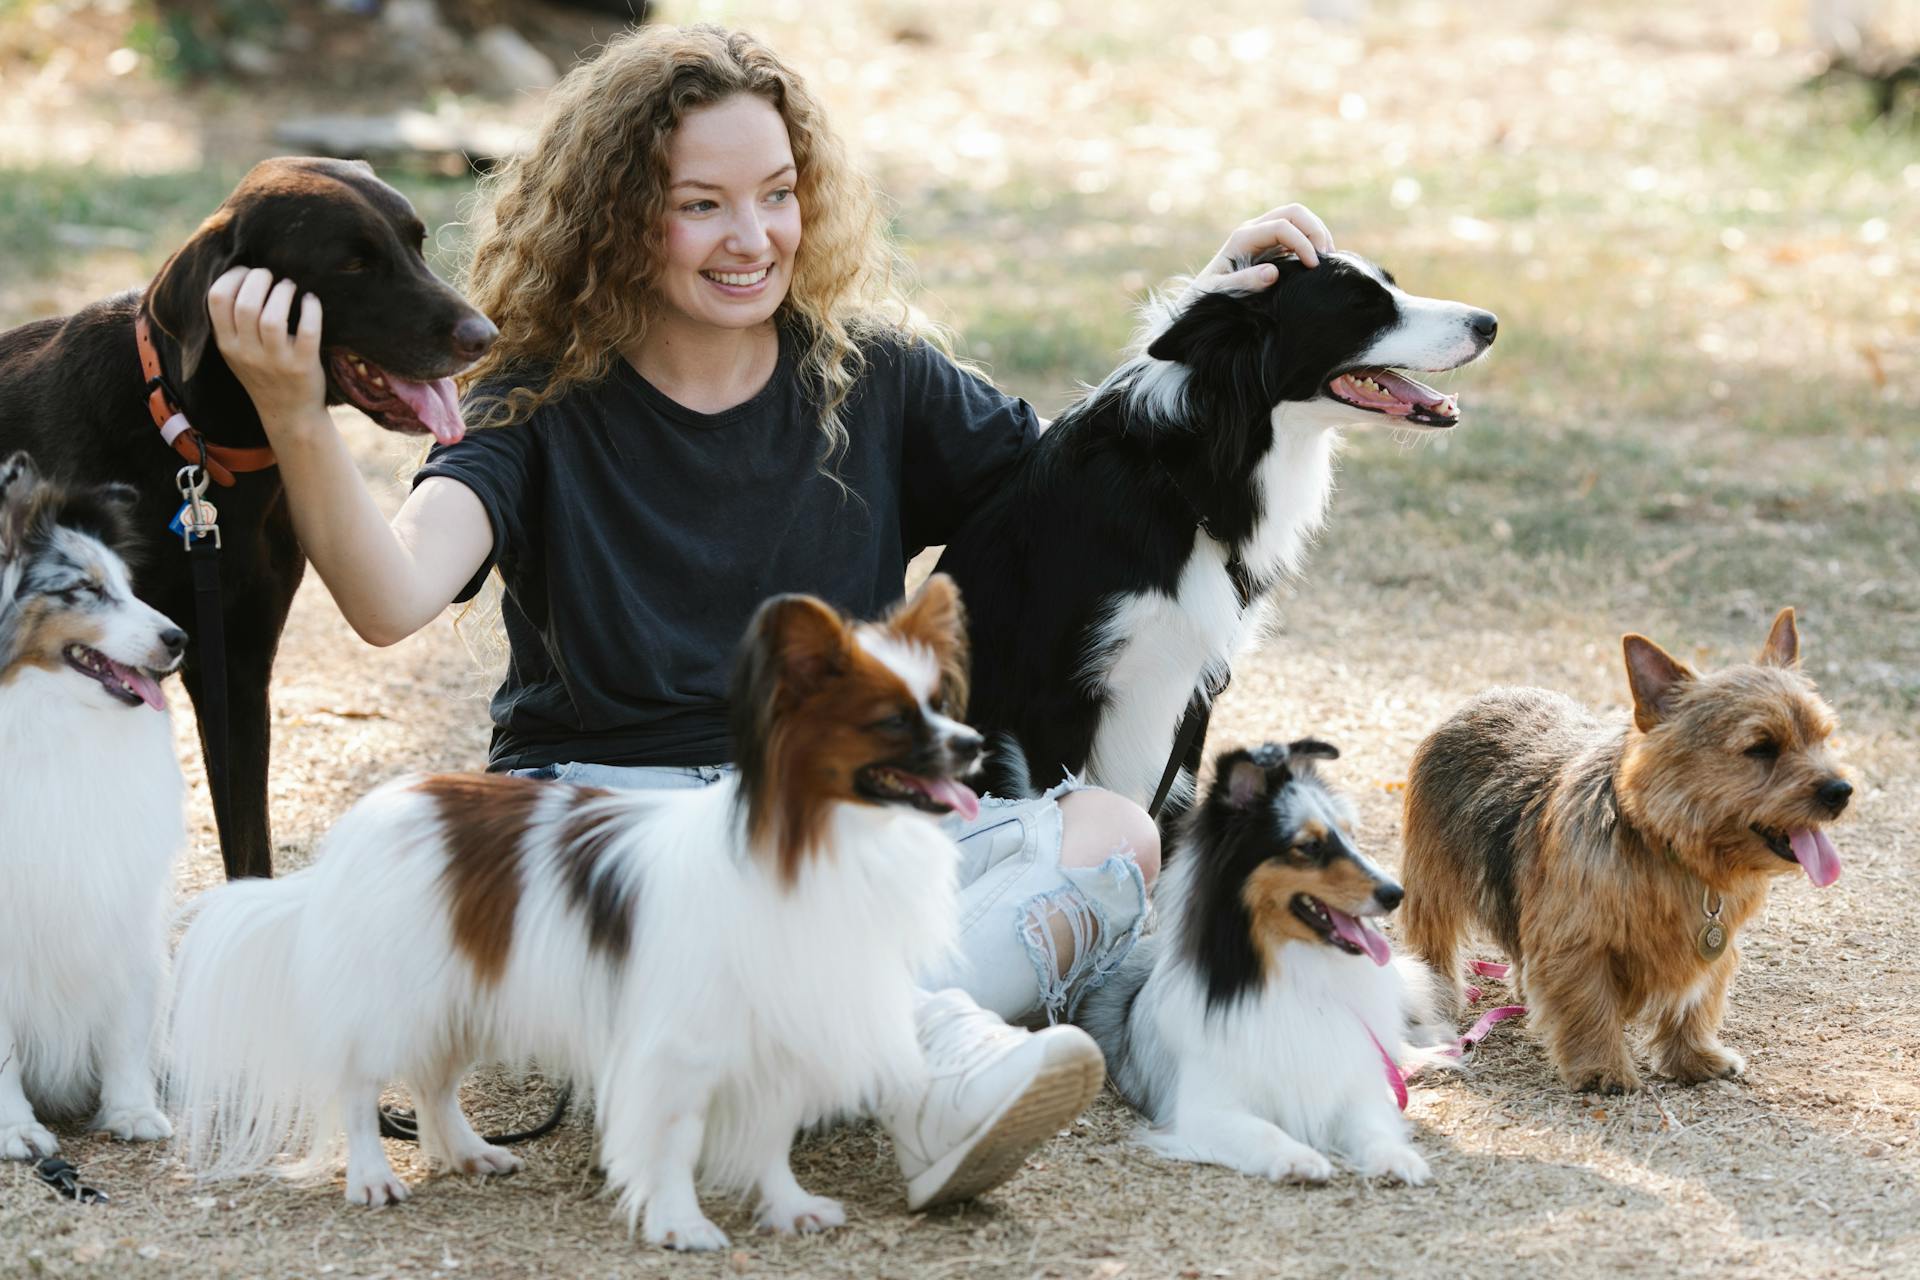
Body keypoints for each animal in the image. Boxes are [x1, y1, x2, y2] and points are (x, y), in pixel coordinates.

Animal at [0, 454, 187, 1166]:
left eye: (127, 587)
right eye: (84, 589)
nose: (179, 638)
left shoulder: (119, 898)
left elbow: (127, 1021)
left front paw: (131, 1110)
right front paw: (15, 1129)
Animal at [165, 579, 990, 1251]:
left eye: (943, 706)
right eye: (893, 722)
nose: (976, 743)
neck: (821, 841)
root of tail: (361, 830)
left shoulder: (781, 1032)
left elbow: (770, 1137)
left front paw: (787, 1207)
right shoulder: (680, 1047)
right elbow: (675, 1136)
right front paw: (680, 1224)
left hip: (465, 993)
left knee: (433, 1082)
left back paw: (468, 1152)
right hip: (400, 997)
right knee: (362, 1082)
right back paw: (373, 1175)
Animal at [1082, 744, 1443, 1189]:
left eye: (1351, 837)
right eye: (1310, 846)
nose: (1396, 894)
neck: (1290, 971)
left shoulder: (1352, 1088)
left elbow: (1374, 1126)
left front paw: (1397, 1158)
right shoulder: (1204, 1109)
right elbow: (1264, 1131)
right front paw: (1298, 1158)